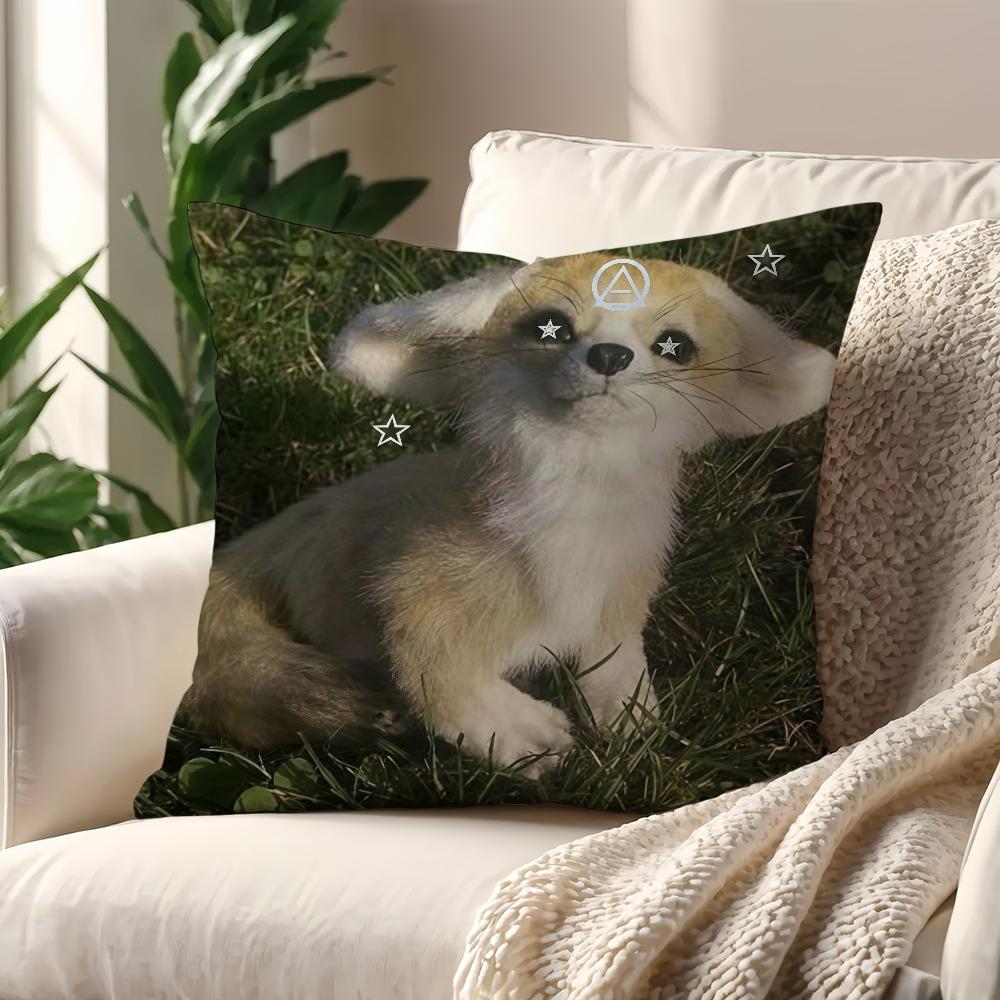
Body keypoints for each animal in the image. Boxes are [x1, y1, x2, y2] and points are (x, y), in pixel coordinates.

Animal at [179, 251, 835, 773]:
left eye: (675, 345)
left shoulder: (617, 608)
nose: (610, 354)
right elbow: (438, 675)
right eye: (552, 327)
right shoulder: (409, 591)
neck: (575, 535)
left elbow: (617, 667)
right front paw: (519, 732)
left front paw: (630, 722)